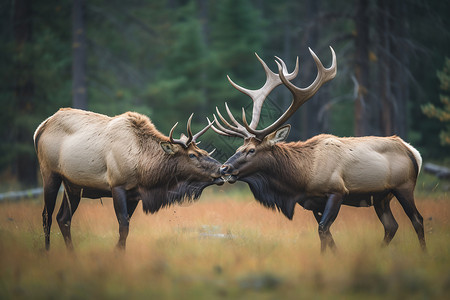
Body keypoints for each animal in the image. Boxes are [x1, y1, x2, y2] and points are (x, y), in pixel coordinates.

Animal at [33, 109, 223, 250]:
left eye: (204, 152)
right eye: (192, 155)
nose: (222, 169)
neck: (144, 169)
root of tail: (39, 129)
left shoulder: (134, 195)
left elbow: (126, 228)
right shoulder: (117, 185)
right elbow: (123, 226)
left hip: (73, 186)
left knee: (63, 218)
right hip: (50, 173)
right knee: (46, 216)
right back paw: (47, 252)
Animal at [214, 47, 426, 253]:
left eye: (251, 150)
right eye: (239, 147)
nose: (224, 168)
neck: (301, 178)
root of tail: (412, 151)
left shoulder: (337, 191)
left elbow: (323, 229)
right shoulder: (313, 203)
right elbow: (326, 235)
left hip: (404, 186)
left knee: (417, 219)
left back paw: (423, 253)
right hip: (382, 196)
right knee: (391, 226)